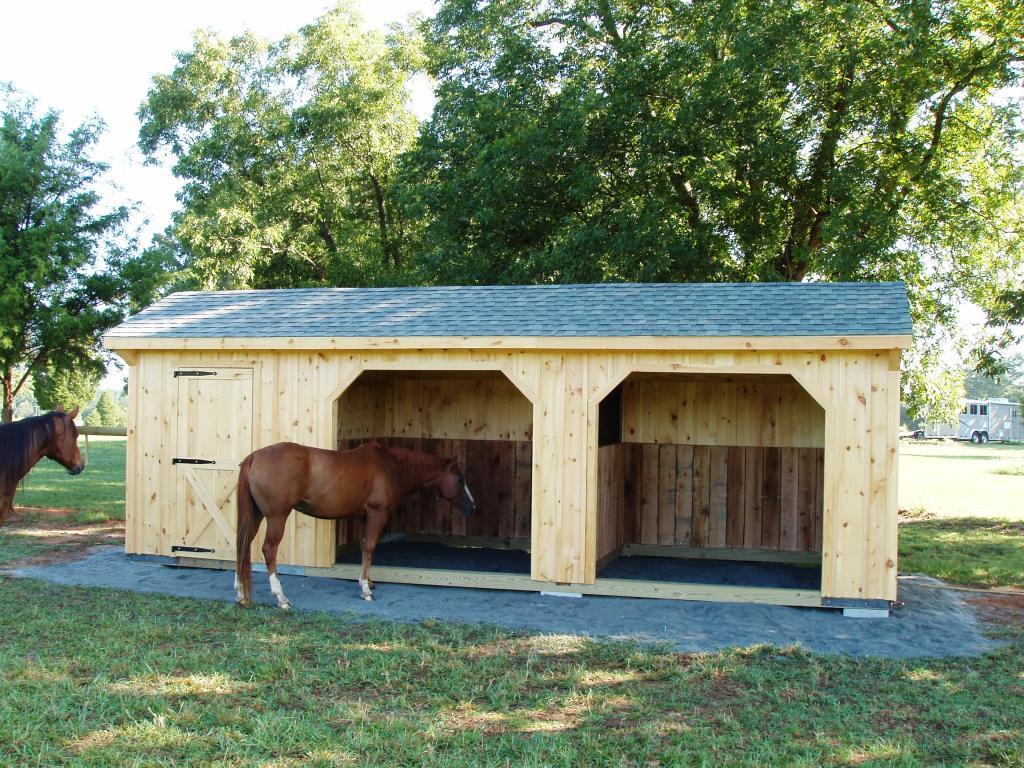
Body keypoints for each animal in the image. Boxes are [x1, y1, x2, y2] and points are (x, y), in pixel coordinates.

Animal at [235, 440, 476, 608]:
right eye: (460, 479)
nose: (472, 507)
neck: (391, 466)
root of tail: (254, 457)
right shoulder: (377, 513)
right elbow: (370, 546)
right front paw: (366, 590)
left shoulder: (364, 516)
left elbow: (364, 547)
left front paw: (367, 581)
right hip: (277, 517)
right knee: (269, 549)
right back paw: (281, 597)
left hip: (256, 515)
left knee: (242, 545)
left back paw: (241, 594)